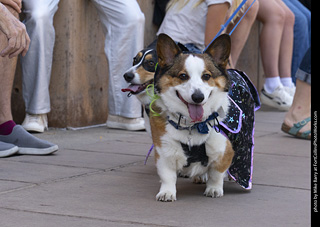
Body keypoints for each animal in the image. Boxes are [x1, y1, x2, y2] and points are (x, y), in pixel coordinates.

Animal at [150, 33, 235, 200]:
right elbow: (167, 176)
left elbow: (216, 173)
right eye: (183, 76)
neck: (193, 125)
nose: (198, 97)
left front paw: (214, 189)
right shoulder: (164, 151)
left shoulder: (224, 149)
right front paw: (167, 192)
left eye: (206, 76)